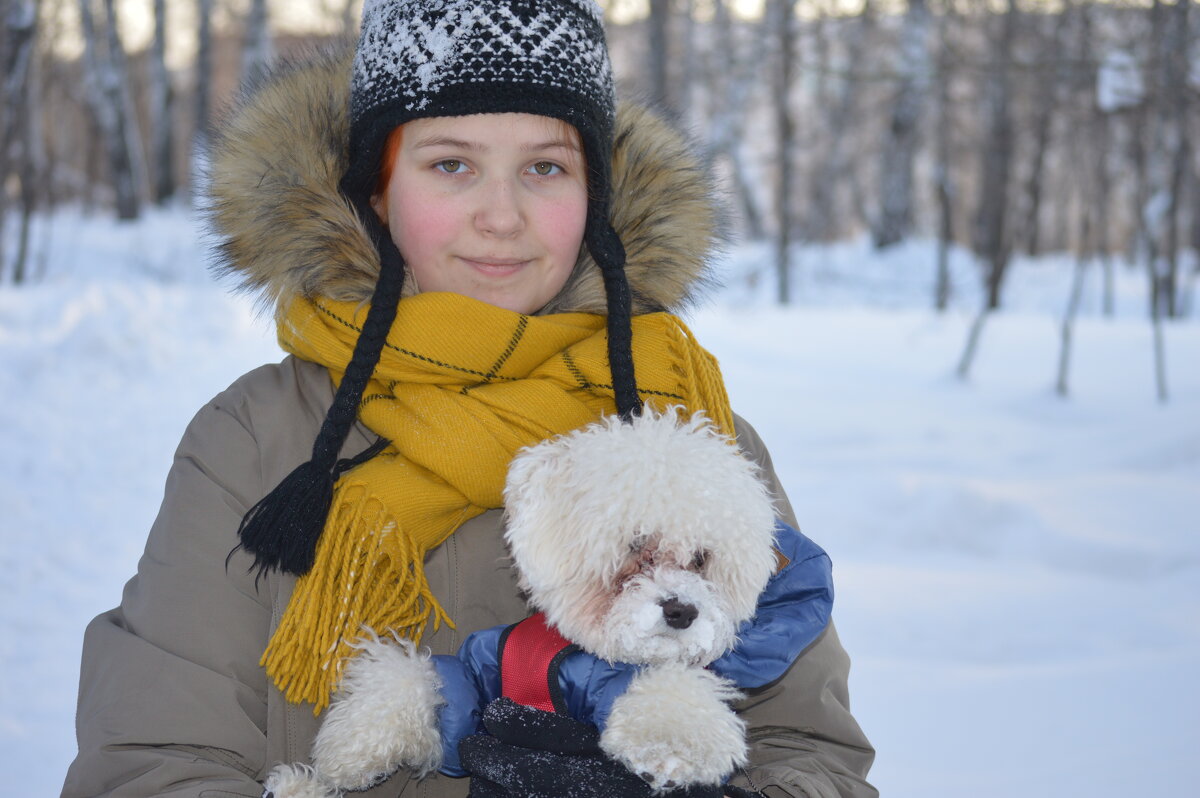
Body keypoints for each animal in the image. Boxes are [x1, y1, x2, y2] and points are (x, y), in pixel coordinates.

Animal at [265, 408, 777, 796]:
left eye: (702, 558)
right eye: (636, 545)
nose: (682, 611)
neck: (588, 653)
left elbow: (673, 702)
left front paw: (681, 751)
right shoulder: (474, 676)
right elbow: (415, 679)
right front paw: (349, 750)